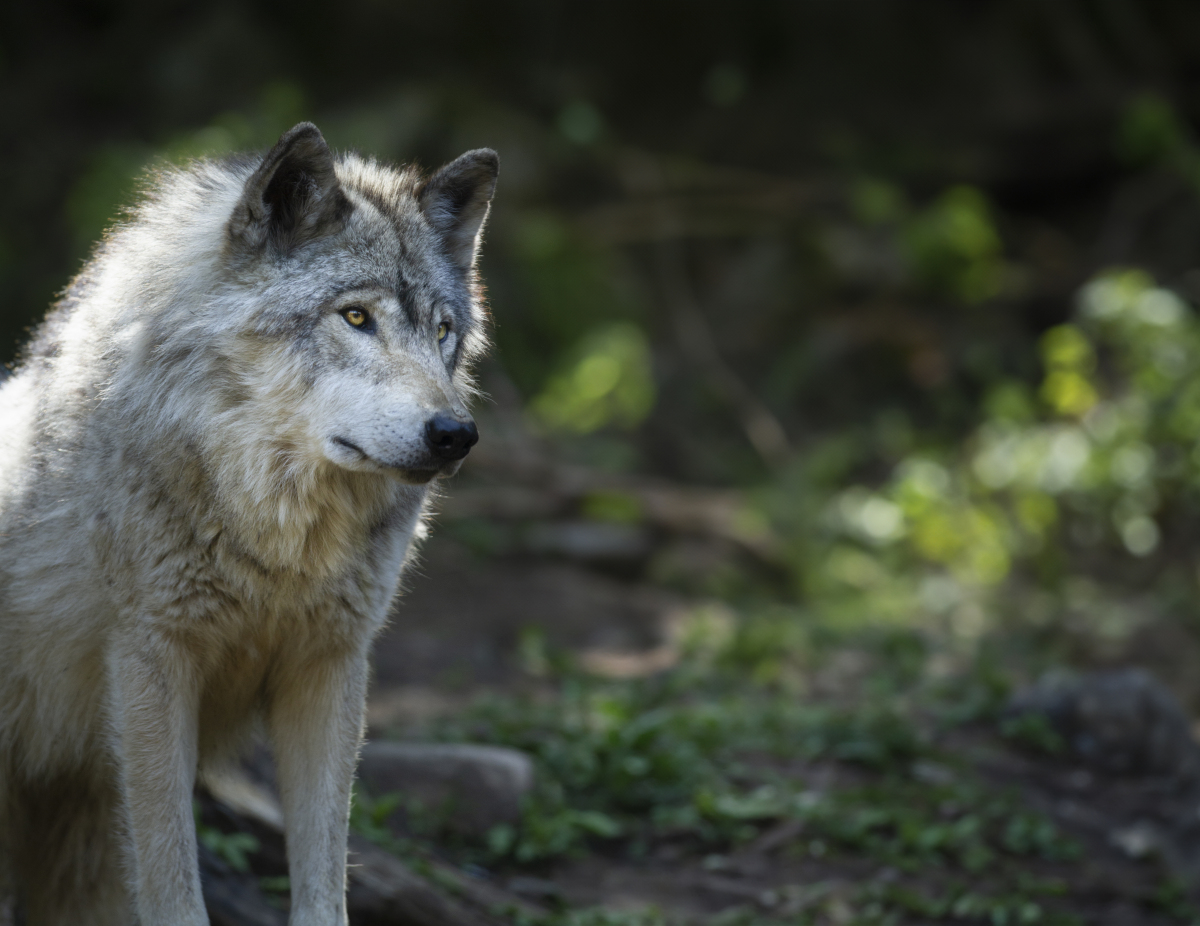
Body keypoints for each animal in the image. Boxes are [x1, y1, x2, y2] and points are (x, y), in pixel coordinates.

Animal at [0, 124, 499, 926]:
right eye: (355, 317)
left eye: (443, 331)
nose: (456, 434)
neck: (276, 540)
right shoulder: (150, 664)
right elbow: (174, 888)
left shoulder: (330, 667)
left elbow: (325, 887)